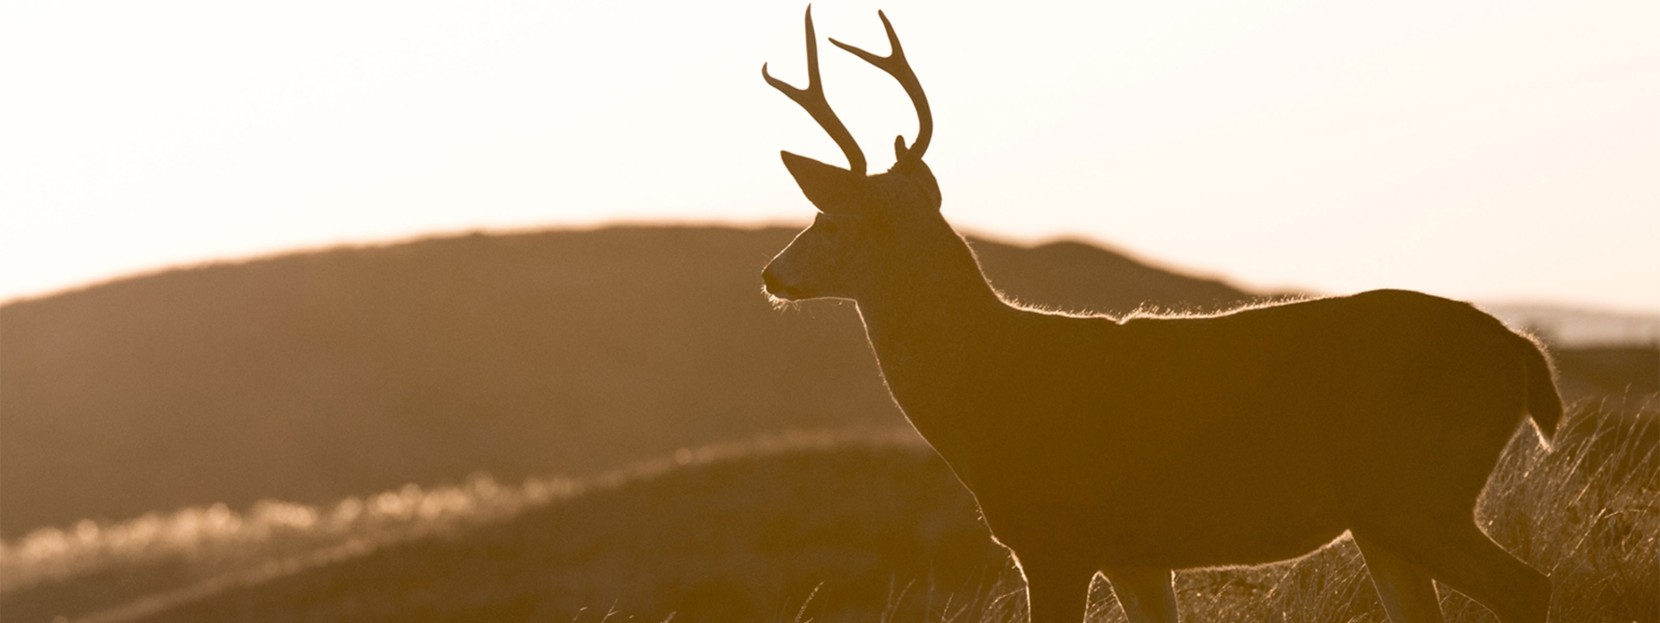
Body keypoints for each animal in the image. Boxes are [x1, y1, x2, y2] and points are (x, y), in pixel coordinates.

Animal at [760, 8, 1560, 623]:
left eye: (829, 220)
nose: (771, 273)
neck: (986, 383)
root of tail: (1521, 350)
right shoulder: (1135, 556)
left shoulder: (1054, 540)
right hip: (1388, 515)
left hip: (1417, 490)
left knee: (1529, 584)